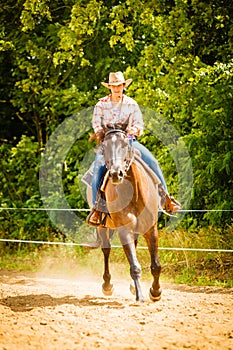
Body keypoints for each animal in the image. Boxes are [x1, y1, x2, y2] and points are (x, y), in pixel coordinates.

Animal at [87, 127, 162, 302]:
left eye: (125, 145)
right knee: (106, 250)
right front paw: (141, 295)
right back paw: (107, 285)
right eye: (105, 147)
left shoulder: (151, 229)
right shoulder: (124, 230)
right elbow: (134, 266)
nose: (116, 174)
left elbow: (156, 265)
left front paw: (155, 292)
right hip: (102, 227)